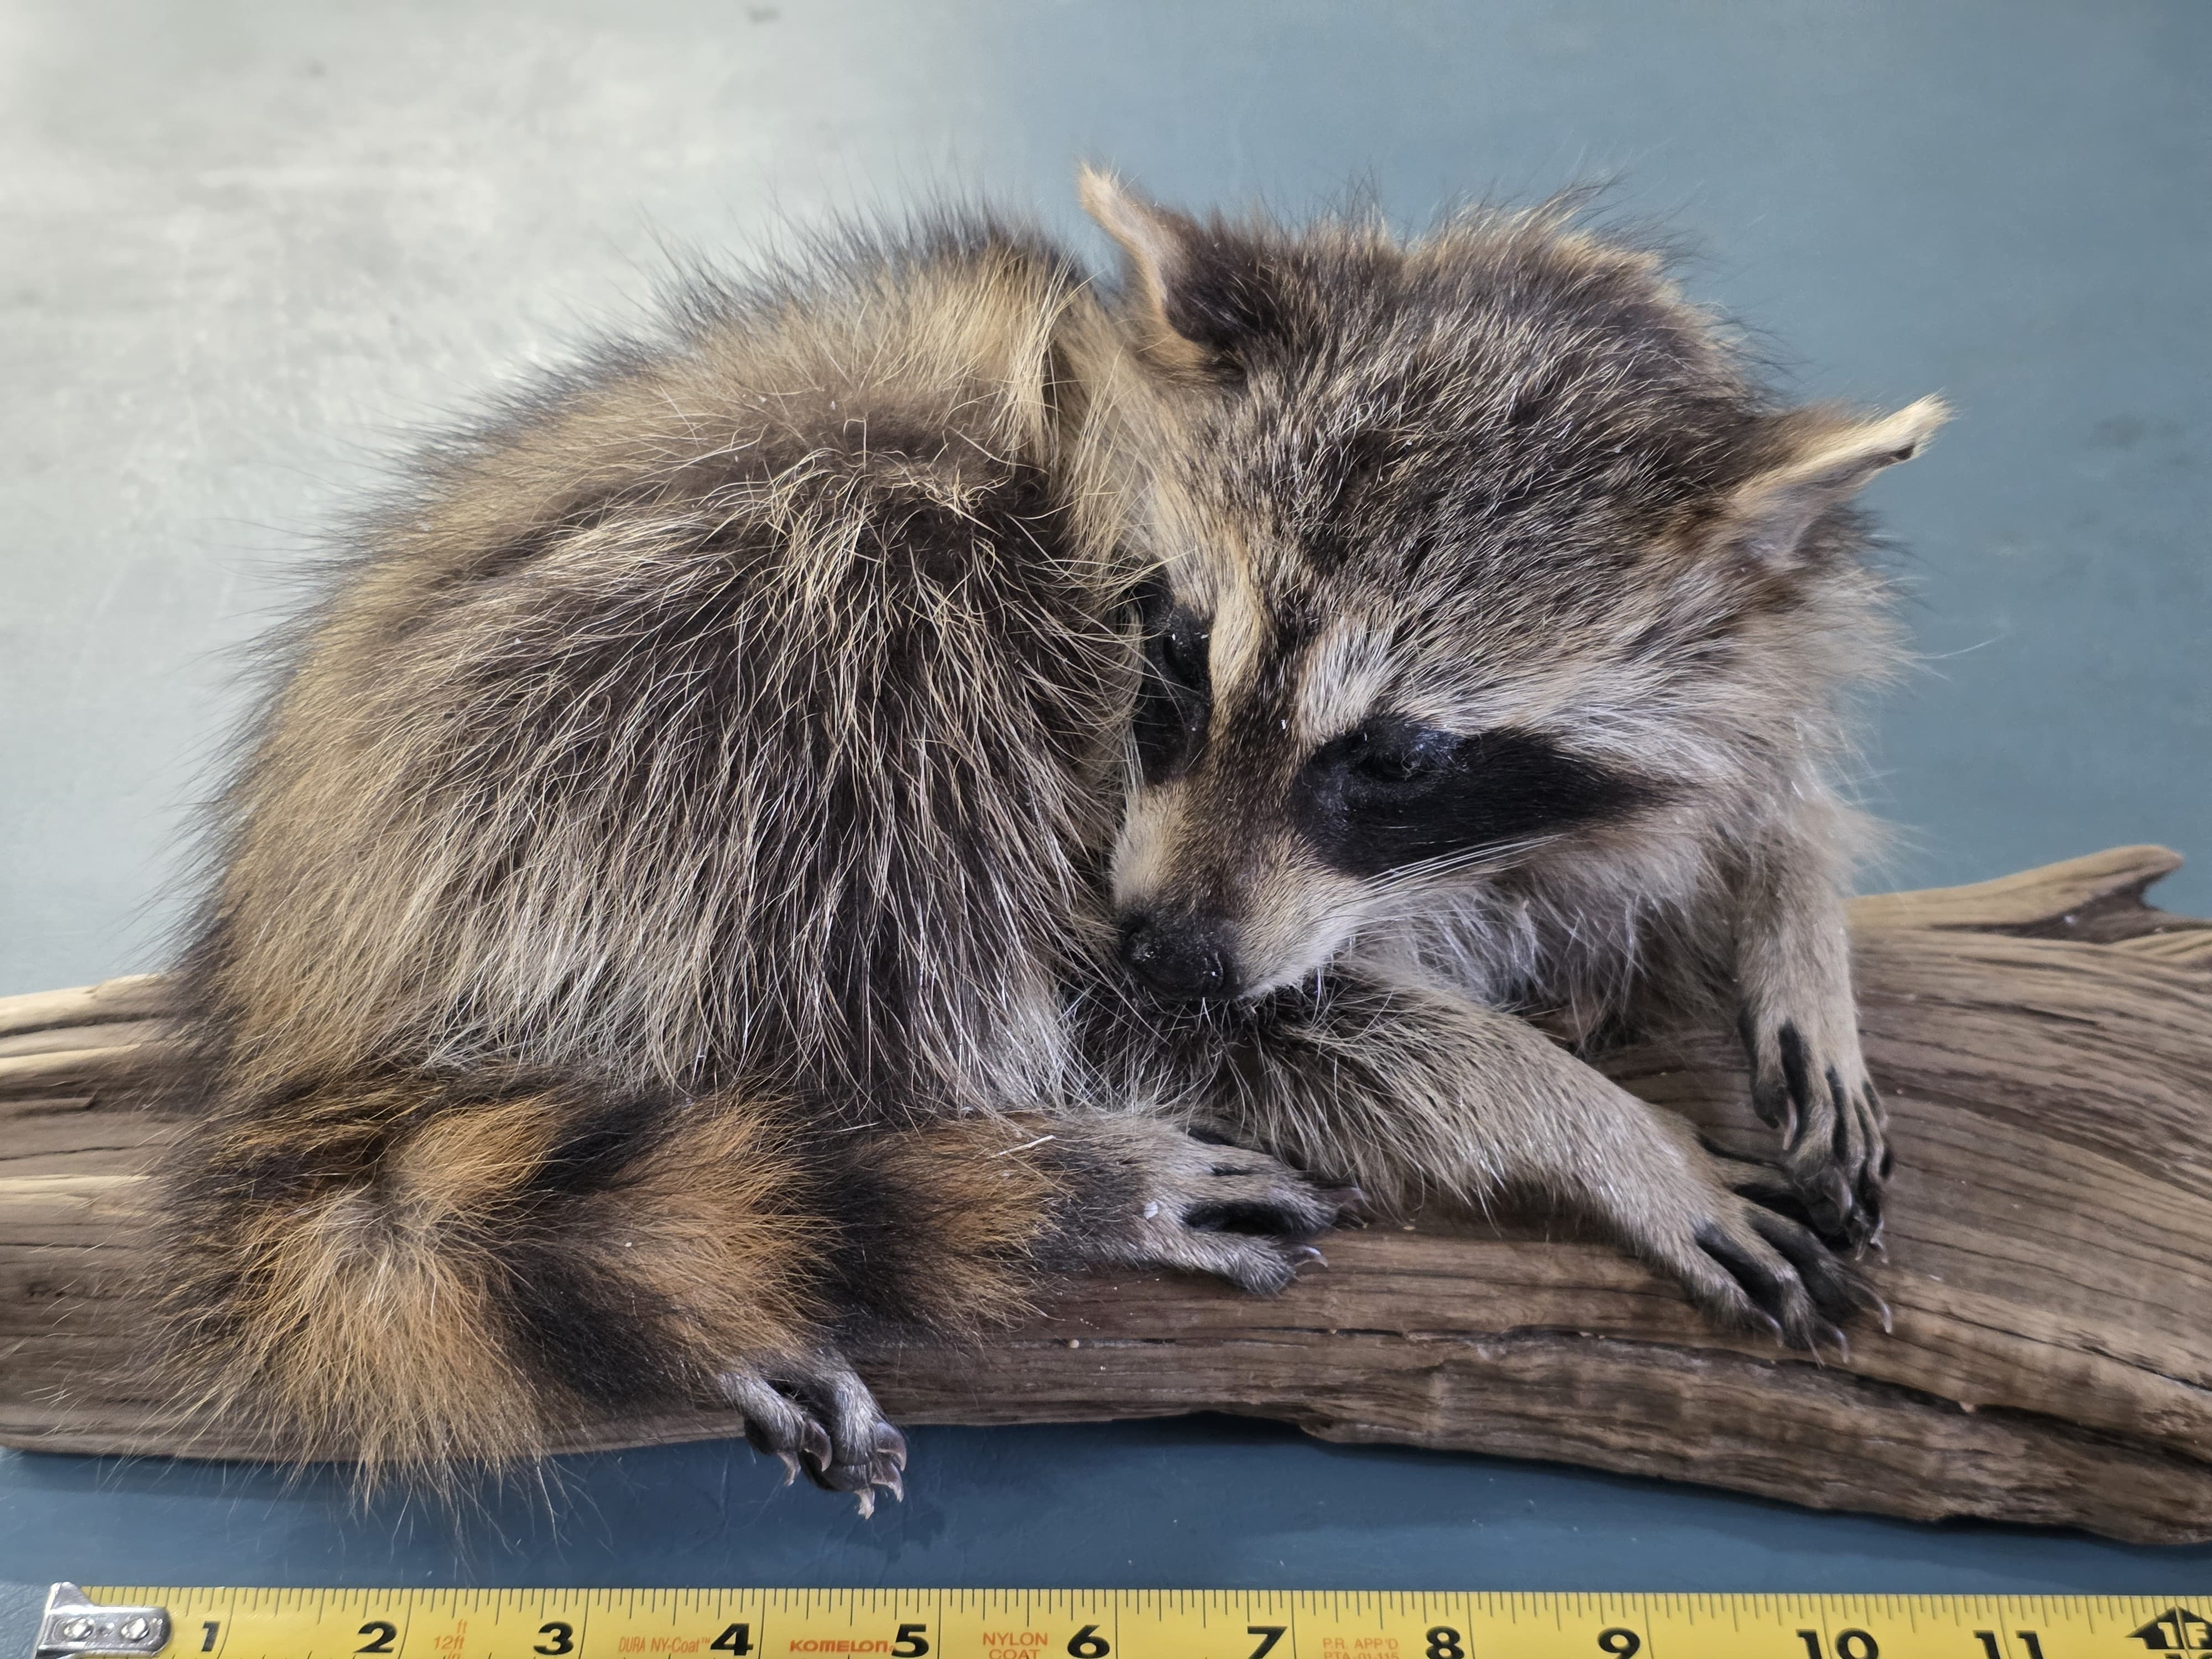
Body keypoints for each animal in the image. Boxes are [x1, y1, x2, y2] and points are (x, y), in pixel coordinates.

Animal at [155, 169, 1939, 1509]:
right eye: (1173, 654)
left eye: (1397, 757)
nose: (1168, 945)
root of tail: (286, 968)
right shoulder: (1055, 768)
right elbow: (1197, 1016)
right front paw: (1588, 1122)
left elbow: (1744, 792)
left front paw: (1789, 904)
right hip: (698, 661)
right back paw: (1047, 1181)